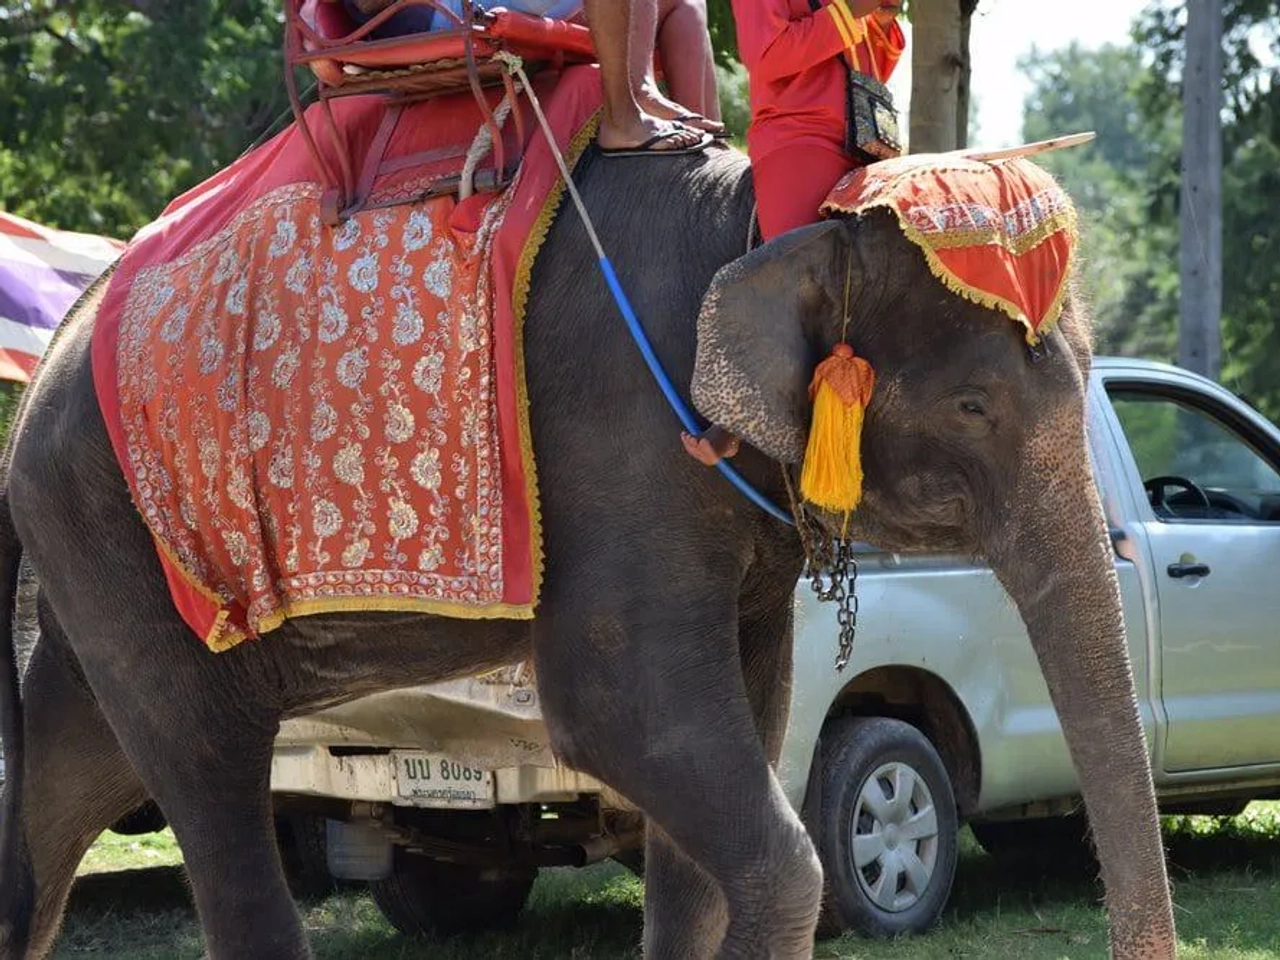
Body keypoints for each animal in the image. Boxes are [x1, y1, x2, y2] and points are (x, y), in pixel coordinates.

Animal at [0, 142, 1176, 959]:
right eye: (975, 404)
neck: (764, 222)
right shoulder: (617, 439)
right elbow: (625, 712)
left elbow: (741, 728)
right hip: (121, 534)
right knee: (205, 769)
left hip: (92, 568)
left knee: (68, 783)